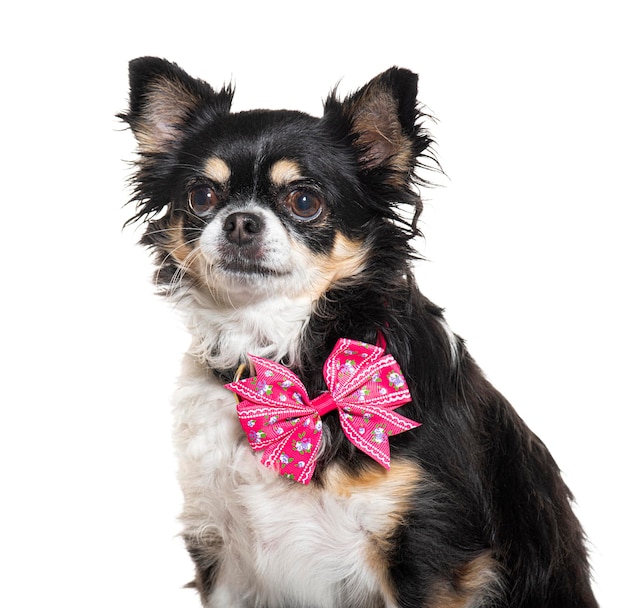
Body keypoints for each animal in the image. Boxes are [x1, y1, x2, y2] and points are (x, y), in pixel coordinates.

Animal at [120, 58, 596, 608]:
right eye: (201, 197)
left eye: (305, 200)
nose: (240, 221)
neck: (286, 355)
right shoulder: (223, 554)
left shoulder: (429, 554)